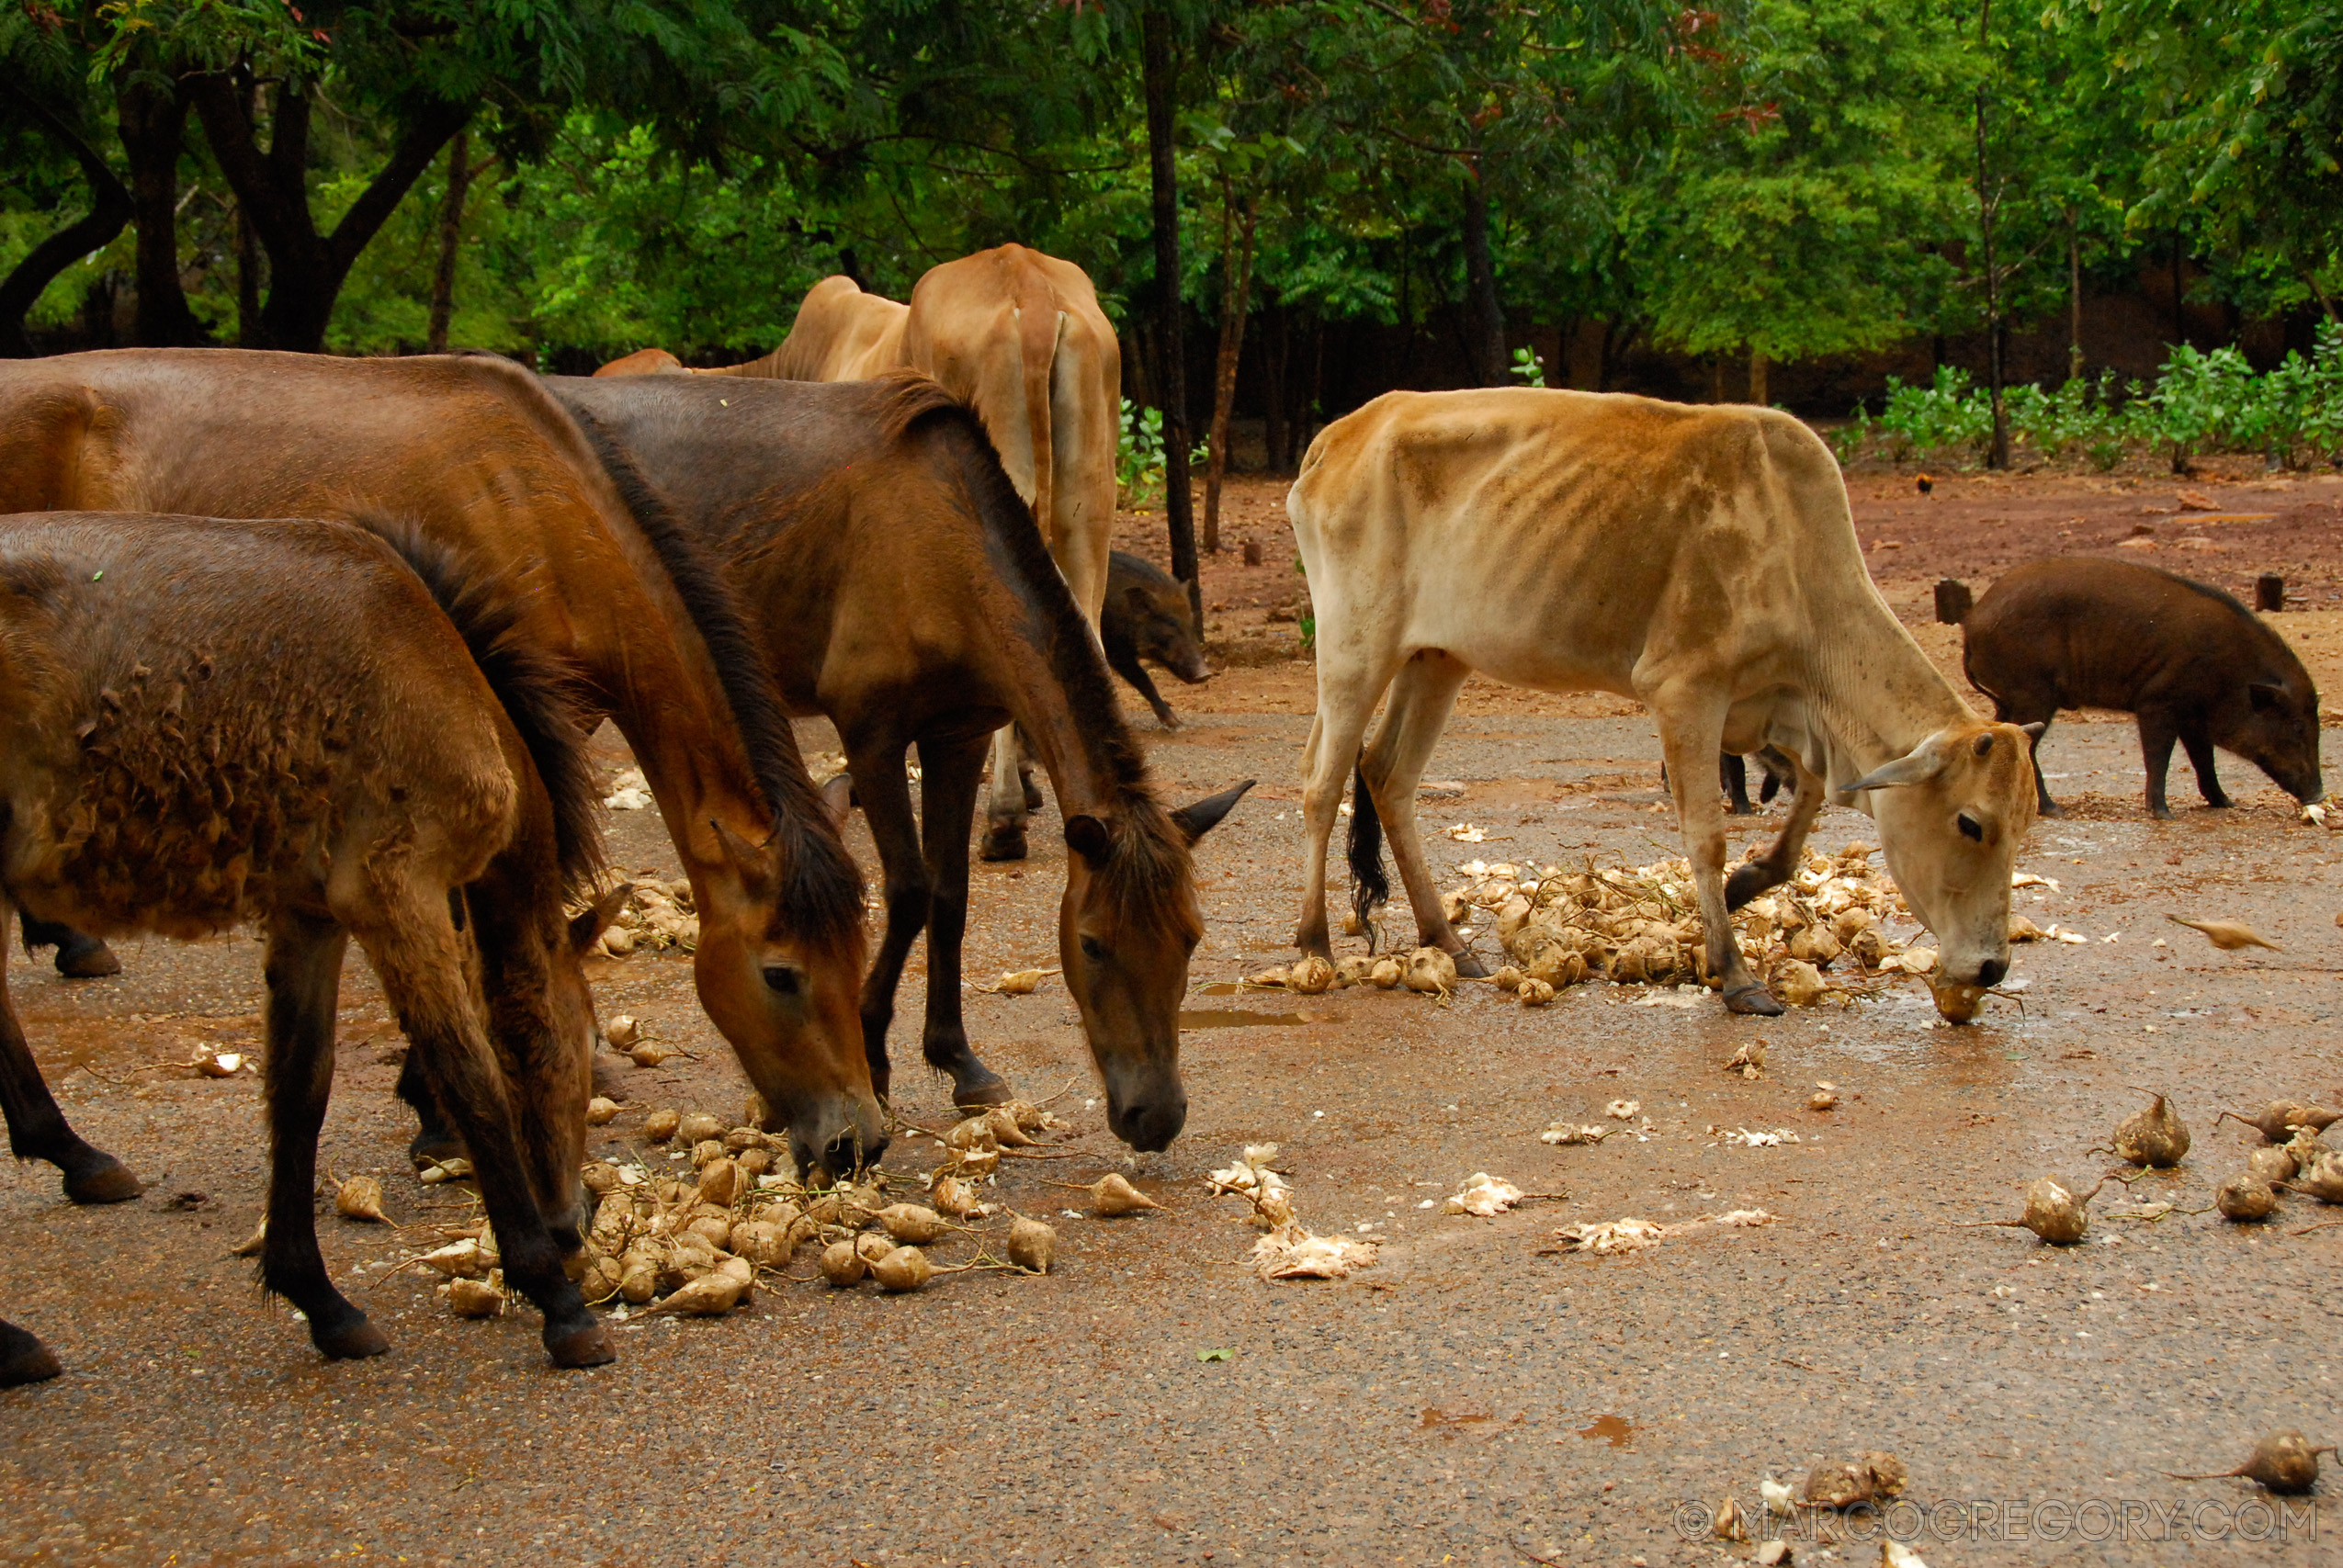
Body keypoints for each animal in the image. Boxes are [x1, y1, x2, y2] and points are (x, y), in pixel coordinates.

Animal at [1096, 550, 1208, 726]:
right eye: (1170, 625)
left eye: (1191, 624)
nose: (1205, 674)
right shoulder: (1115, 651)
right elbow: (1144, 680)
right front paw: (1176, 724)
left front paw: (1179, 723)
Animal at [1293, 389, 2043, 1017]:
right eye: (1970, 823)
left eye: (2024, 823)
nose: (1991, 968)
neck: (1795, 552)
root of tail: (1341, 434)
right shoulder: (1686, 691)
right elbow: (1706, 836)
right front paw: (1734, 971)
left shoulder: (1775, 714)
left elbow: (1803, 806)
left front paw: (1747, 884)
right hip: (1355, 648)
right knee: (1323, 783)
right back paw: (1314, 940)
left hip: (1437, 660)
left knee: (1388, 775)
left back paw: (1447, 939)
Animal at [1958, 553, 2324, 820]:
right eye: (2297, 725)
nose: (2319, 794)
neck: (2230, 671)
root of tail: (1972, 623)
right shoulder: (2157, 701)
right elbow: (2159, 757)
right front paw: (2163, 815)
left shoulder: (2193, 716)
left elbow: (2203, 759)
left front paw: (2226, 803)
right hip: (2033, 693)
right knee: (2025, 745)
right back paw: (2053, 810)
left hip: (2011, 699)